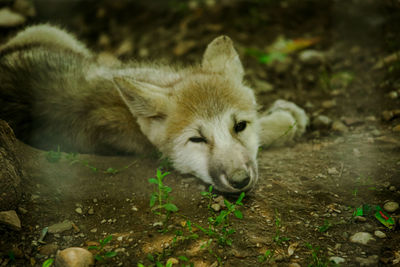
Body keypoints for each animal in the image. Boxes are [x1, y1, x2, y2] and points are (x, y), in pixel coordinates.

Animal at [0, 24, 310, 193]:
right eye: (196, 139)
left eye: (239, 126)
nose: (240, 181)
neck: (128, 114)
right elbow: (276, 126)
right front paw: (288, 118)